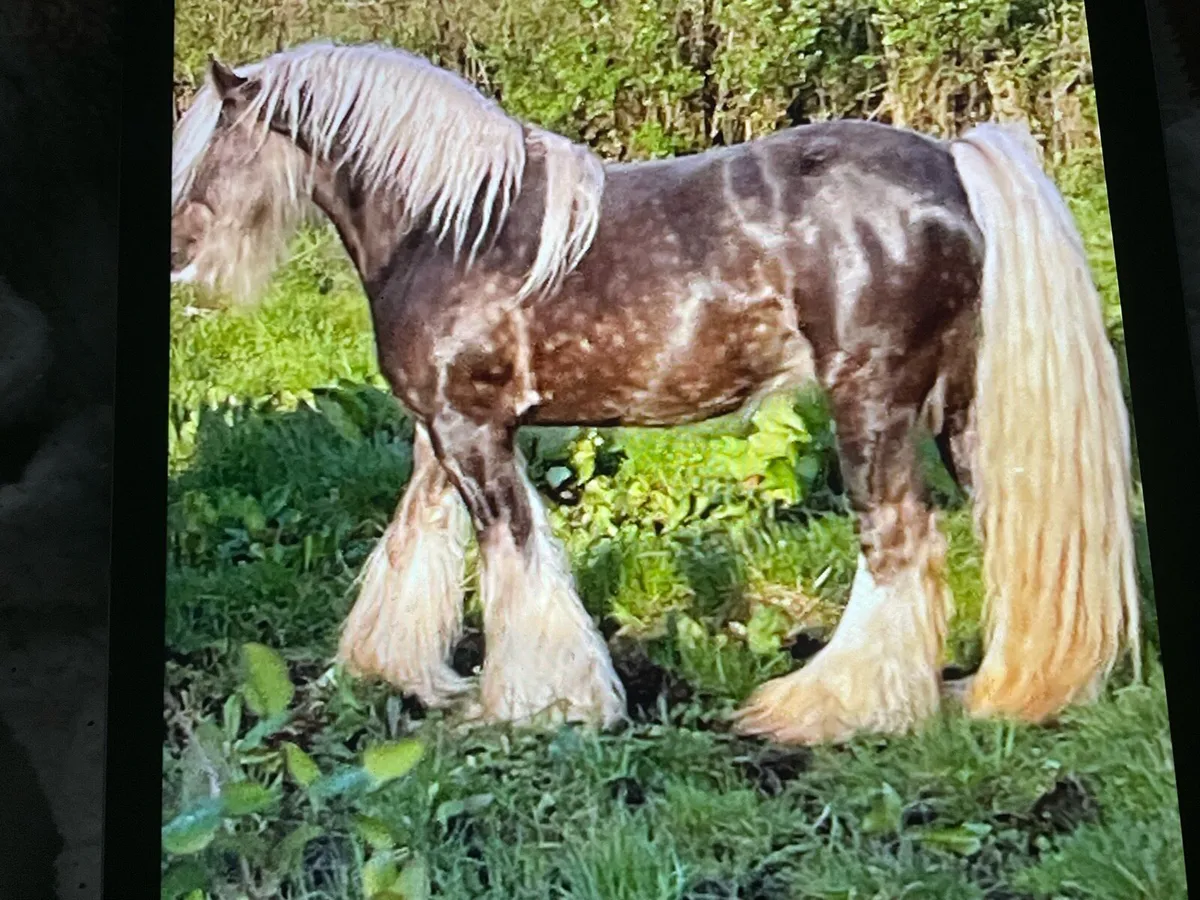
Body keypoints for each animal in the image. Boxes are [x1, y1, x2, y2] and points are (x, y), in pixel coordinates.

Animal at [170, 40, 1140, 746]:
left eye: (211, 143)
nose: (178, 250)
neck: (451, 230)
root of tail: (951, 161)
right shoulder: (440, 433)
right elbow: (415, 544)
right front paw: (394, 674)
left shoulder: (469, 430)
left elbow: (513, 557)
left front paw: (544, 706)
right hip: (962, 413)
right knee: (1012, 535)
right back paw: (1008, 691)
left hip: (871, 403)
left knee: (899, 544)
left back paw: (828, 710)